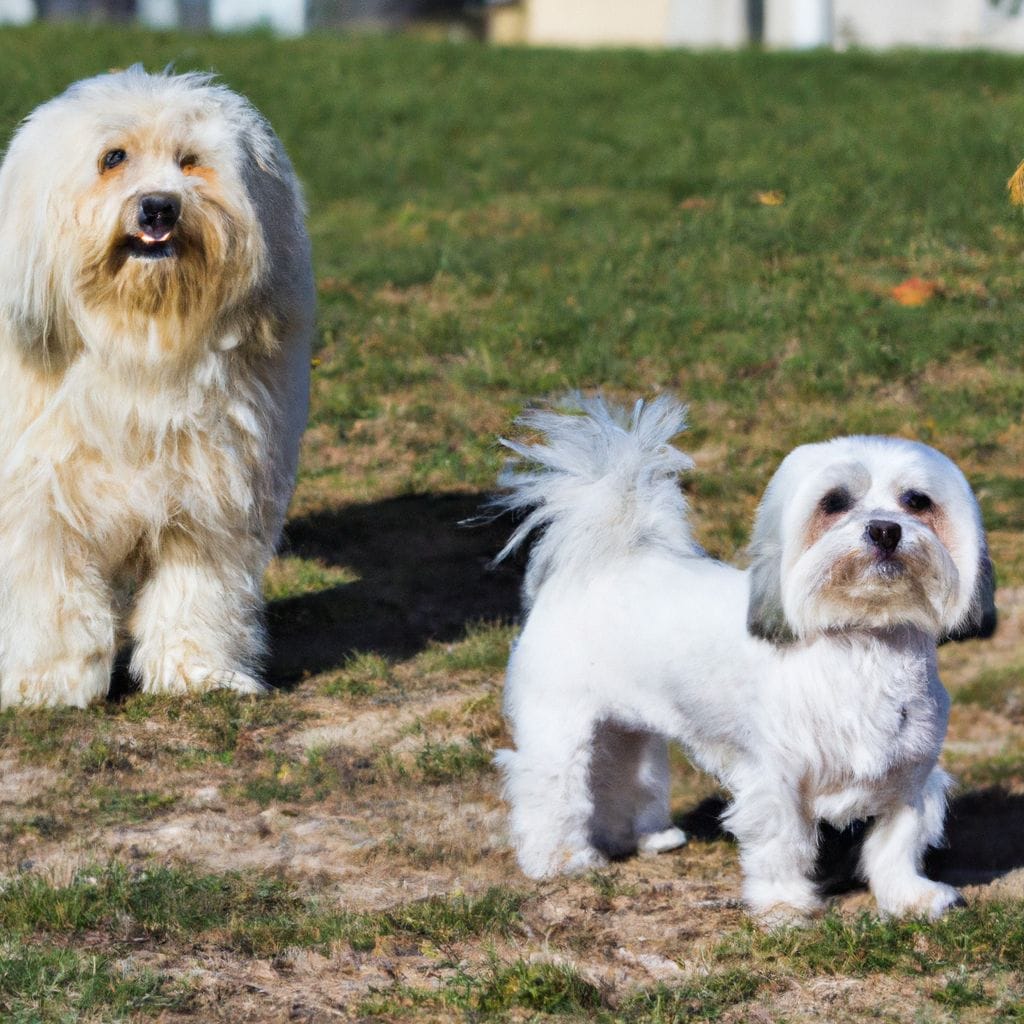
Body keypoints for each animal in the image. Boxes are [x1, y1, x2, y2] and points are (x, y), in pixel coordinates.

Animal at [0, 61, 313, 704]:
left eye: (189, 160)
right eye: (113, 158)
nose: (159, 208)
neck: (140, 341)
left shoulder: (211, 498)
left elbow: (195, 596)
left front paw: (198, 673)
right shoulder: (39, 503)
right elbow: (53, 601)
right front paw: (49, 684)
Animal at [491, 397, 995, 921]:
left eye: (917, 501)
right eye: (834, 502)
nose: (884, 529)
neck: (862, 644)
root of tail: (607, 560)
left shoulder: (911, 776)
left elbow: (897, 845)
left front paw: (910, 896)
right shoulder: (777, 779)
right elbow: (783, 844)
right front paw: (784, 904)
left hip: (626, 729)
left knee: (622, 777)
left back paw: (648, 838)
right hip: (559, 726)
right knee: (549, 789)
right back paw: (558, 859)